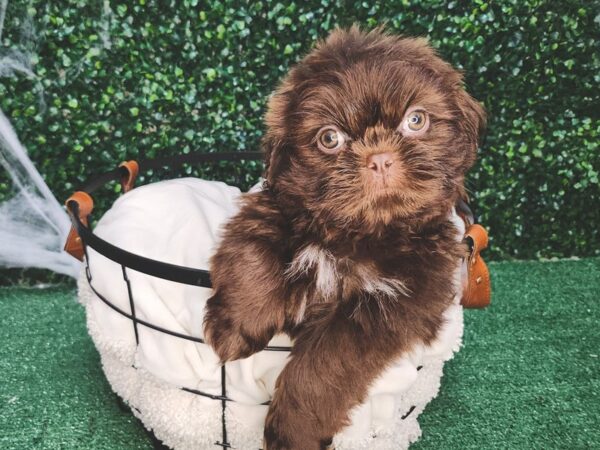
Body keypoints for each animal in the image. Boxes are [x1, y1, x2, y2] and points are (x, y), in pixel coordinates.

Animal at [204, 26, 486, 448]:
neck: (358, 234)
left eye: (416, 120)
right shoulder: (268, 209)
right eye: (329, 139)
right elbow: (253, 252)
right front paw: (235, 329)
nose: (380, 158)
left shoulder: (397, 302)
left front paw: (292, 432)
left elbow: (328, 359)